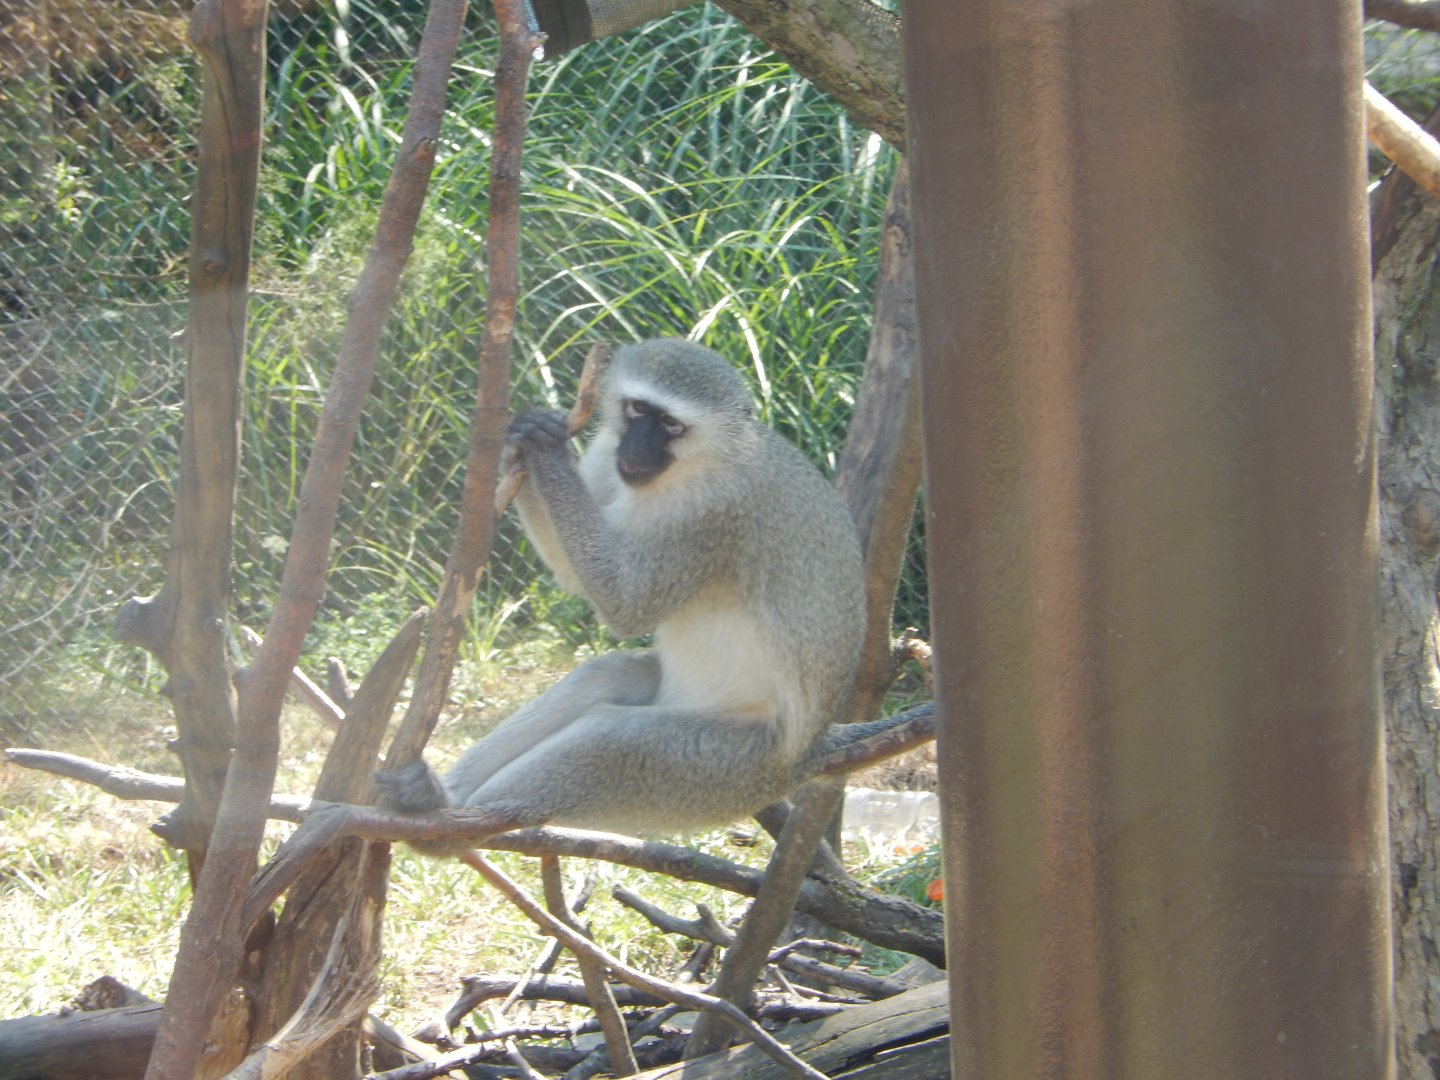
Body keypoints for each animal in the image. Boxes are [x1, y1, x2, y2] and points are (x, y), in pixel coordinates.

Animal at [379, 338, 865, 845]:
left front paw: (547, 451)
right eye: (637, 410)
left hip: (729, 765)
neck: (696, 461)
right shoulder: (606, 450)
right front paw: (524, 440)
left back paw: (444, 828)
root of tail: (807, 756)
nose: (635, 447)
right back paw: (433, 797)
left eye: (670, 424)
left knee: (613, 741)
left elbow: (626, 605)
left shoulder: (711, 507)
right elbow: (576, 579)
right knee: (607, 675)